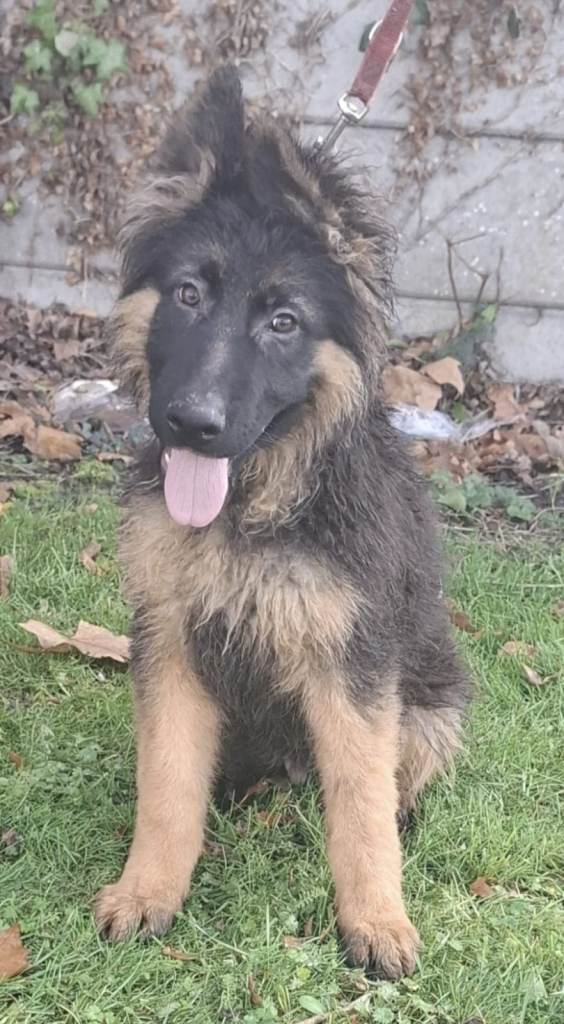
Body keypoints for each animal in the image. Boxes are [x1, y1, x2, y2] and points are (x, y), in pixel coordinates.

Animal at [95, 66, 471, 979]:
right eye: (188, 294)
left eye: (284, 321)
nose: (192, 425)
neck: (255, 507)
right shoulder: (170, 643)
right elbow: (167, 785)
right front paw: (149, 890)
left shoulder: (352, 665)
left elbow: (360, 806)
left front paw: (377, 920)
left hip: (431, 703)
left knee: (396, 779)